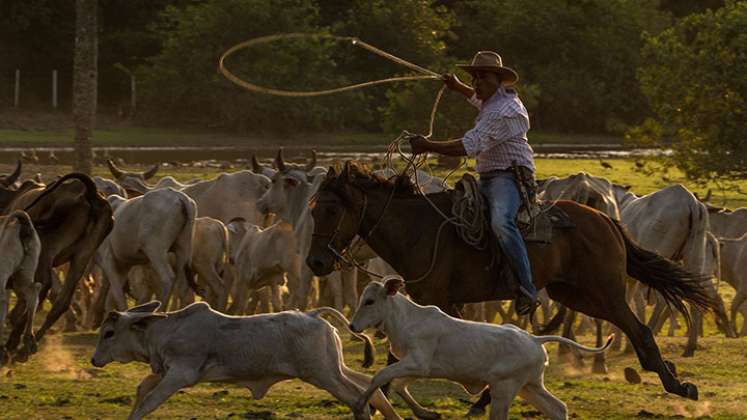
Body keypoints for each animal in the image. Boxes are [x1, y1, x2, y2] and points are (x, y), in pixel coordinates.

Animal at [92, 300, 404, 420]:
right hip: (333, 369)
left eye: (109, 333)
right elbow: (142, 390)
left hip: (323, 375)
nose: (95, 360)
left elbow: (149, 401)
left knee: (357, 400)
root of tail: (313, 314)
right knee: (369, 388)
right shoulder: (163, 372)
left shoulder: (180, 374)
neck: (164, 330)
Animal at [348, 278, 612, 418]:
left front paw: (360, 404)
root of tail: (534, 339)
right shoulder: (418, 368)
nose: (352, 326)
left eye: (369, 301)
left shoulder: (417, 363)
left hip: (504, 388)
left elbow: (380, 376)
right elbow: (399, 386)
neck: (406, 319)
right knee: (557, 408)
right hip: (529, 386)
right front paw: (426, 413)